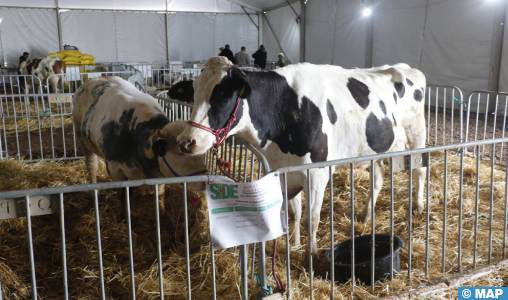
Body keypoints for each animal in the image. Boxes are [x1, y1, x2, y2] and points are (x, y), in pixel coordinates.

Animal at [177, 56, 426, 253]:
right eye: (194, 93)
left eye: (222, 95)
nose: (186, 142)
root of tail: (404, 67)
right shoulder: (284, 171)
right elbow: (294, 213)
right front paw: (295, 245)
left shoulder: (316, 173)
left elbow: (311, 219)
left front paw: (312, 253)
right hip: (375, 149)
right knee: (378, 177)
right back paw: (366, 215)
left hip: (417, 135)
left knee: (421, 170)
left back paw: (418, 206)